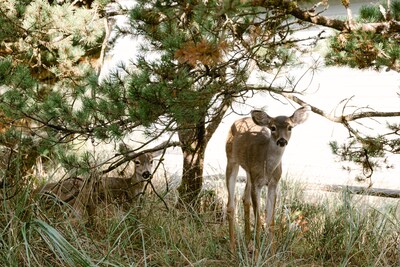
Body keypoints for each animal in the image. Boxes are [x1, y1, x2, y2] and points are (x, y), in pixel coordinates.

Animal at [225, 106, 310, 255]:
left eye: (290, 127)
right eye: (273, 127)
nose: (282, 141)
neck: (268, 168)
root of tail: (239, 120)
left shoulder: (273, 184)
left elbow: (271, 221)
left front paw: (272, 254)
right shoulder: (257, 184)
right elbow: (259, 221)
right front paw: (258, 254)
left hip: (249, 172)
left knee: (245, 199)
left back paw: (248, 244)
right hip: (231, 159)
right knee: (230, 205)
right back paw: (234, 250)